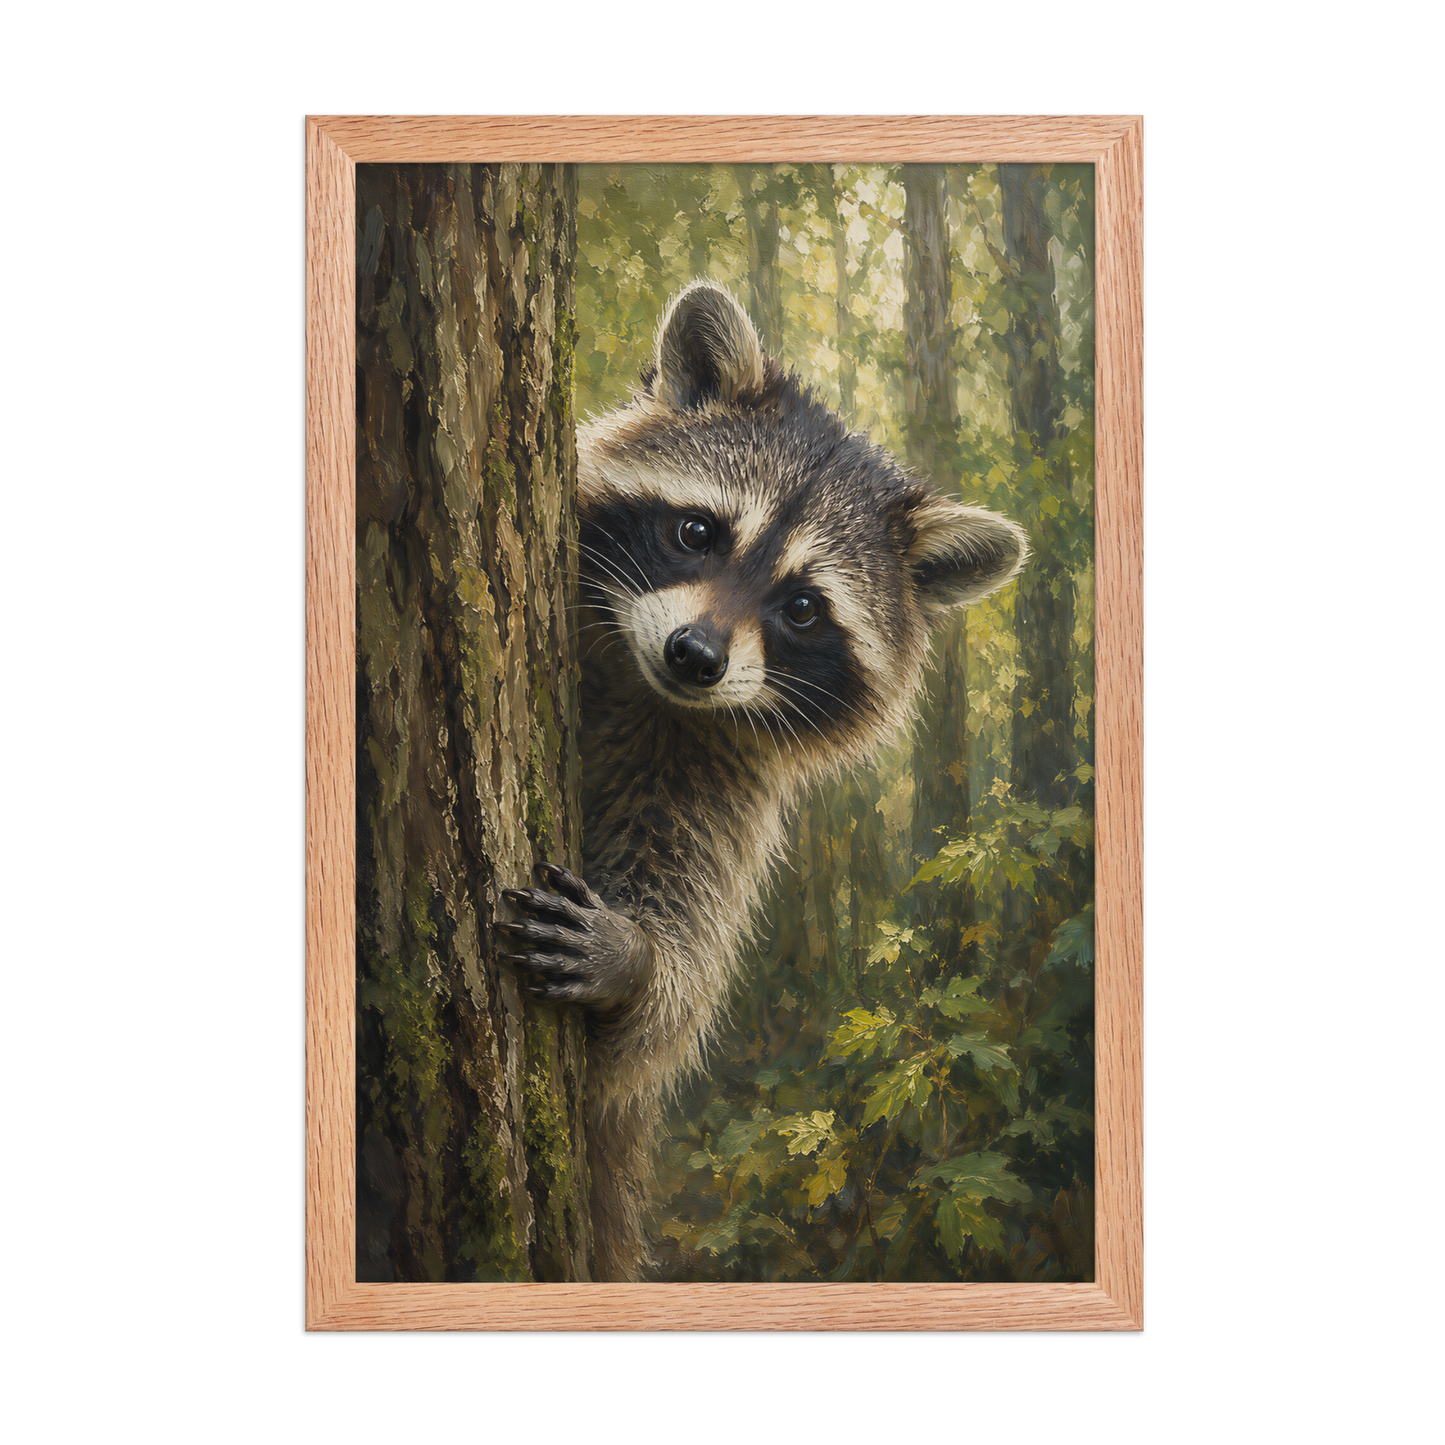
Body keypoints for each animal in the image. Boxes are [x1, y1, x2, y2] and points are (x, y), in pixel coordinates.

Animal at [501, 280, 1029, 1281]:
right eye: (696, 531)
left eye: (803, 607)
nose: (696, 655)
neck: (643, 685)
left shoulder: (718, 783)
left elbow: (662, 1011)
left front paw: (638, 962)